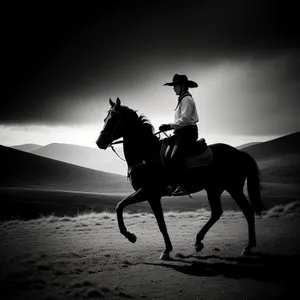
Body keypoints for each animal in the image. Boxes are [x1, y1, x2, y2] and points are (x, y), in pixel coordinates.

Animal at [96, 98, 264, 260]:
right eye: (105, 118)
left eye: (113, 119)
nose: (99, 142)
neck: (145, 155)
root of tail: (239, 153)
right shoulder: (151, 196)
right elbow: (158, 222)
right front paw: (166, 249)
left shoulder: (148, 192)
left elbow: (121, 206)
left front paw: (131, 236)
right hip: (214, 189)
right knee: (217, 212)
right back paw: (199, 241)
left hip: (233, 188)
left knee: (247, 211)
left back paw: (247, 247)